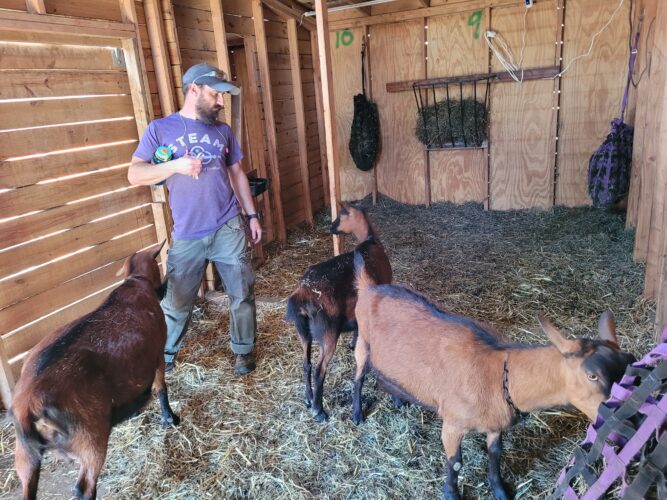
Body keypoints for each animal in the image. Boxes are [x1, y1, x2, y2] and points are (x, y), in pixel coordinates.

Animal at [11, 242, 179, 500]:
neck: (136, 282)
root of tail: (28, 407)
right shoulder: (158, 354)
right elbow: (161, 388)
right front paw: (170, 418)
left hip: (25, 454)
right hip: (90, 438)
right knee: (83, 487)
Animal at [286, 201, 392, 420]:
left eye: (342, 215)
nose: (331, 227)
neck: (371, 240)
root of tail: (302, 293)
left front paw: (352, 343)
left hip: (303, 333)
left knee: (306, 364)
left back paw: (308, 399)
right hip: (327, 333)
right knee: (319, 369)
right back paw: (319, 410)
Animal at [352, 254, 636, 500]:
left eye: (630, 362)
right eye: (592, 375)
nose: (625, 421)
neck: (500, 371)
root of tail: (370, 288)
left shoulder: (495, 424)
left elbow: (495, 455)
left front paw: (499, 490)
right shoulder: (452, 423)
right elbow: (455, 463)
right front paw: (451, 494)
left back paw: (399, 399)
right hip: (362, 344)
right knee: (358, 379)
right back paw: (357, 414)